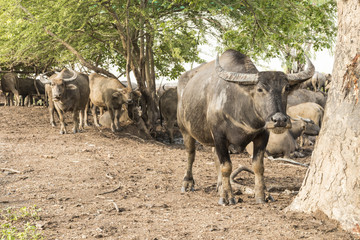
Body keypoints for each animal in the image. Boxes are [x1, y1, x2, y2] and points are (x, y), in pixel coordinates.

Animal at [177, 49, 316, 204]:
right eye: (260, 89)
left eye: (286, 88)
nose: (279, 120)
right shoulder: (219, 136)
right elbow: (226, 166)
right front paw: (227, 196)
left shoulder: (262, 135)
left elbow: (258, 166)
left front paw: (263, 194)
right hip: (185, 130)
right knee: (191, 154)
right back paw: (187, 182)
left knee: (214, 157)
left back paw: (219, 185)